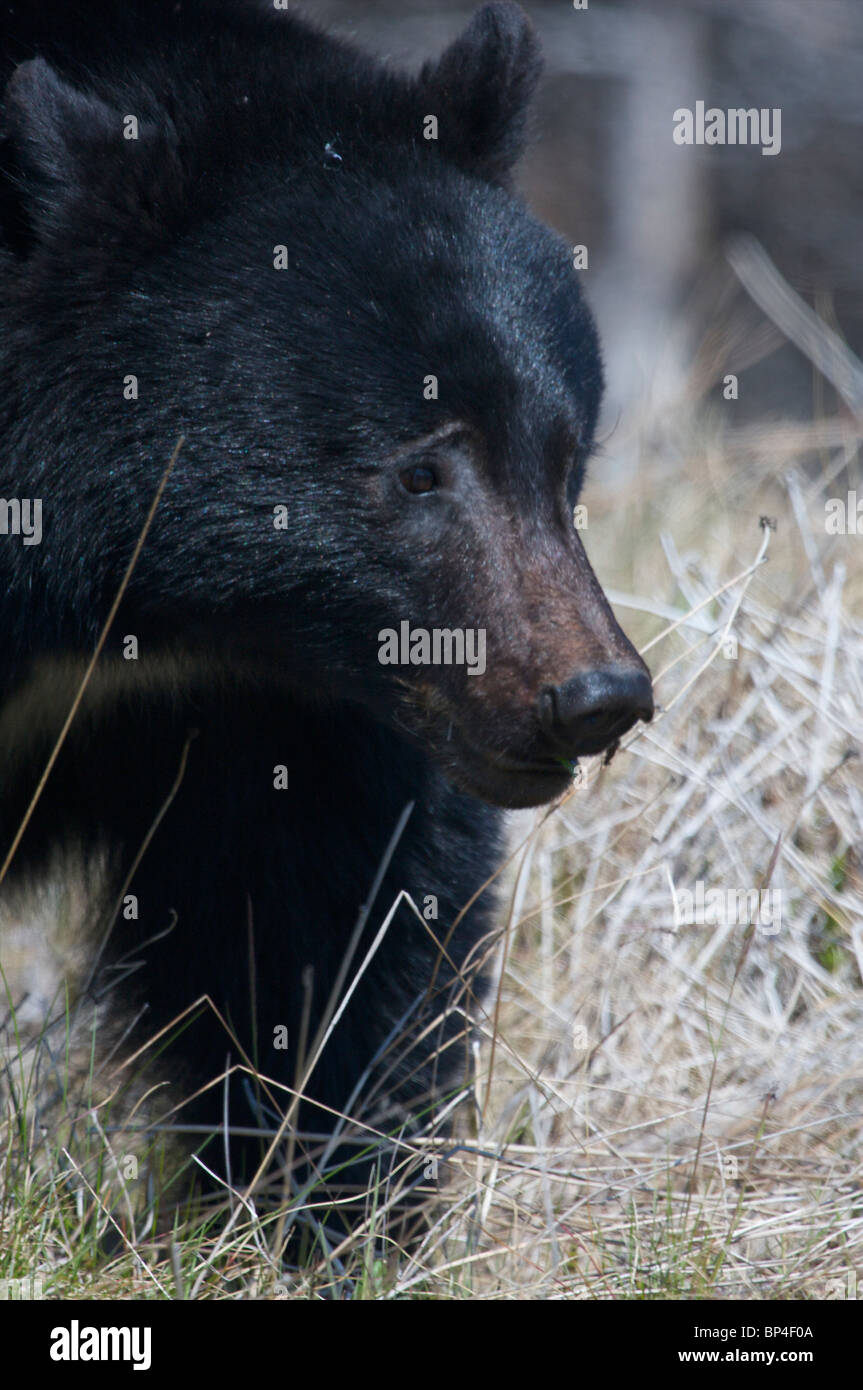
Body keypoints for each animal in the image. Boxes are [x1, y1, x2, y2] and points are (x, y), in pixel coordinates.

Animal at [0, 0, 644, 1239]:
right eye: (417, 472)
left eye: (561, 453)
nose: (594, 694)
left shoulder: (272, 710)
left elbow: (330, 918)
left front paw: (320, 1215)